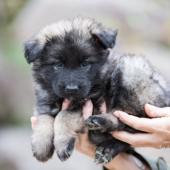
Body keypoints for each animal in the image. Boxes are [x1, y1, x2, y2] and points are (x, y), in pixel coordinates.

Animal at [23, 17, 170, 163]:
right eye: (58, 65)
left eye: (85, 64)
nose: (72, 89)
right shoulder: (45, 102)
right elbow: (43, 118)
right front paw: (41, 146)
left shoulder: (91, 102)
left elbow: (63, 115)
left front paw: (62, 143)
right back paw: (107, 147)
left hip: (131, 71)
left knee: (127, 117)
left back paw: (100, 123)